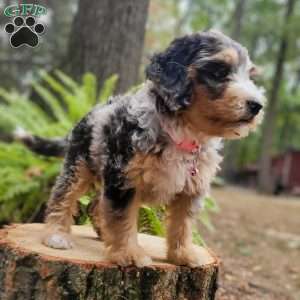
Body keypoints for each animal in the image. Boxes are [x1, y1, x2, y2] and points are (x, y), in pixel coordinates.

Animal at [18, 30, 264, 268]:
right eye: (219, 72)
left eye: (250, 76)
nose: (257, 105)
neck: (183, 133)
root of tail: (89, 114)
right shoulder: (124, 178)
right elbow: (123, 217)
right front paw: (130, 254)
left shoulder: (190, 189)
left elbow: (182, 225)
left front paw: (183, 255)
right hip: (78, 165)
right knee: (62, 196)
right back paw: (56, 235)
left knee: (96, 205)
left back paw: (103, 234)